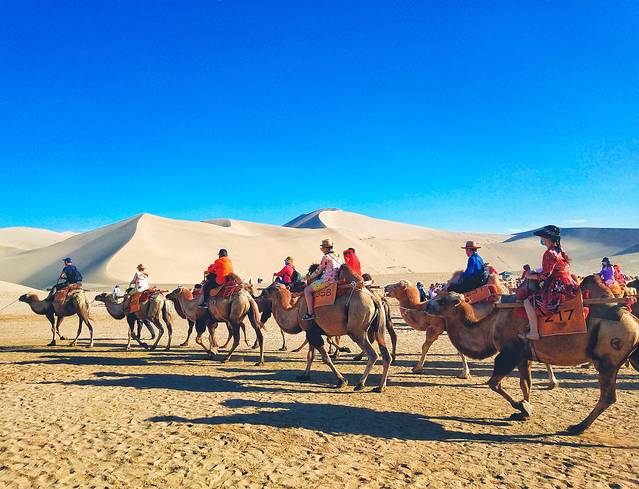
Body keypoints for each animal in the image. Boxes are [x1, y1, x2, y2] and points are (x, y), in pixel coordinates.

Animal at [425, 275, 639, 434]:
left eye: (443, 300)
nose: (426, 305)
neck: (490, 324)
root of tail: (634, 321)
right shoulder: (524, 356)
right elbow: (525, 383)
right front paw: (525, 410)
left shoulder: (509, 353)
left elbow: (494, 383)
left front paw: (521, 407)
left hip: (607, 360)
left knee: (608, 396)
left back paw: (578, 427)